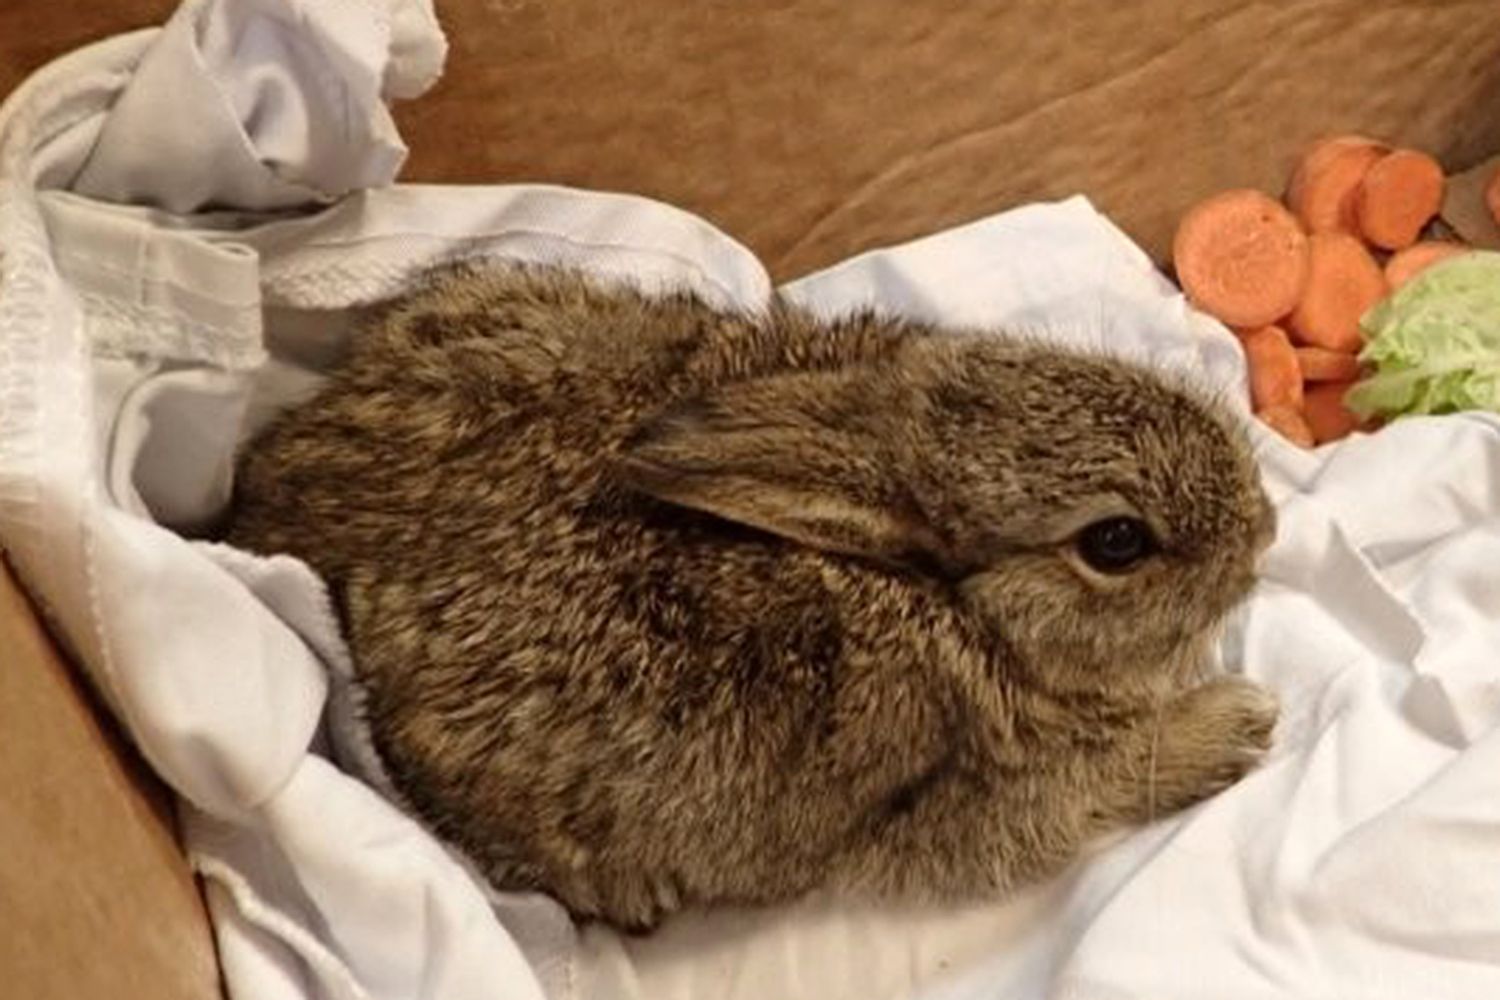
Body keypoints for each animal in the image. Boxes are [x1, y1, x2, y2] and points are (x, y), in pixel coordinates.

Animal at [227, 260, 1279, 932]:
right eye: (1116, 543)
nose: (1265, 529)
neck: (946, 600)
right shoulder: (956, 804)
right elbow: (1092, 786)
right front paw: (1240, 725)